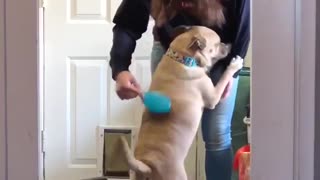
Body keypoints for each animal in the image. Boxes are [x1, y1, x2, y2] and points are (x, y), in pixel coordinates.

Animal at [120, 25, 242, 180]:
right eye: (217, 43)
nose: (229, 45)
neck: (182, 57)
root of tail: (147, 166)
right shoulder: (213, 96)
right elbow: (225, 77)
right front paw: (235, 64)